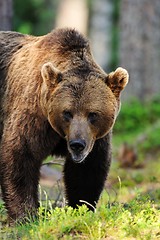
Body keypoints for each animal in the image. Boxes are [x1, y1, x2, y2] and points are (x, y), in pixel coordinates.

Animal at [0, 28, 128, 223]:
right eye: (67, 112)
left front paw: (81, 208)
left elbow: (88, 170)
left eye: (93, 114)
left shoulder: (95, 139)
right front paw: (25, 214)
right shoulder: (33, 116)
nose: (77, 144)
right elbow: (20, 154)